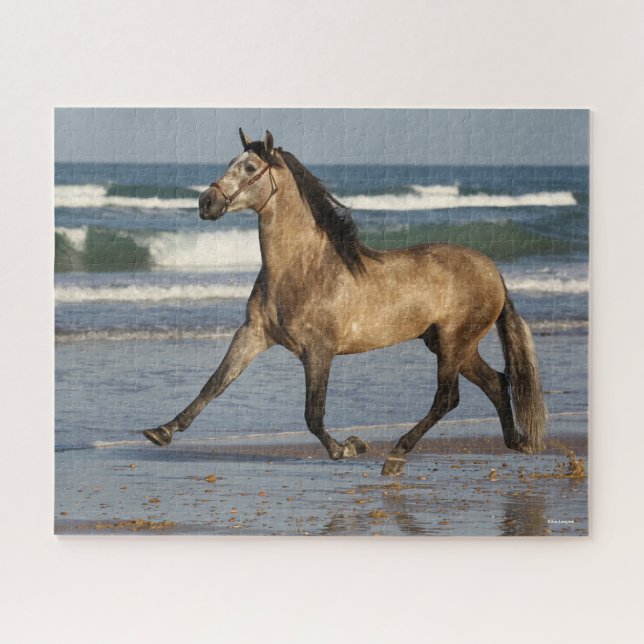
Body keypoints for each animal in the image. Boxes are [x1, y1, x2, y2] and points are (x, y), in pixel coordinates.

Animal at [144, 129, 547, 476]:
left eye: (250, 168)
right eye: (232, 161)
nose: (206, 202)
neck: (302, 270)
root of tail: (492, 270)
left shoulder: (319, 351)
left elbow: (313, 414)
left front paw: (348, 447)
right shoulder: (254, 334)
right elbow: (215, 383)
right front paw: (162, 430)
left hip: (453, 343)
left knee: (447, 398)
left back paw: (396, 454)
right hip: (450, 344)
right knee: (496, 382)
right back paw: (517, 441)